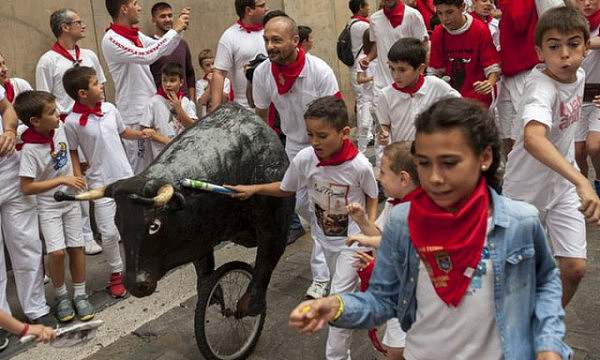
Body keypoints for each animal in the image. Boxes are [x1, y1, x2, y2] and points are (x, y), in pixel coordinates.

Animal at [55, 102, 294, 360]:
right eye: (117, 222)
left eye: (154, 225)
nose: (134, 283)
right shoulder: (201, 235)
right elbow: (204, 269)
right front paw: (214, 295)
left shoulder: (275, 225)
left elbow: (264, 266)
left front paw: (249, 305)